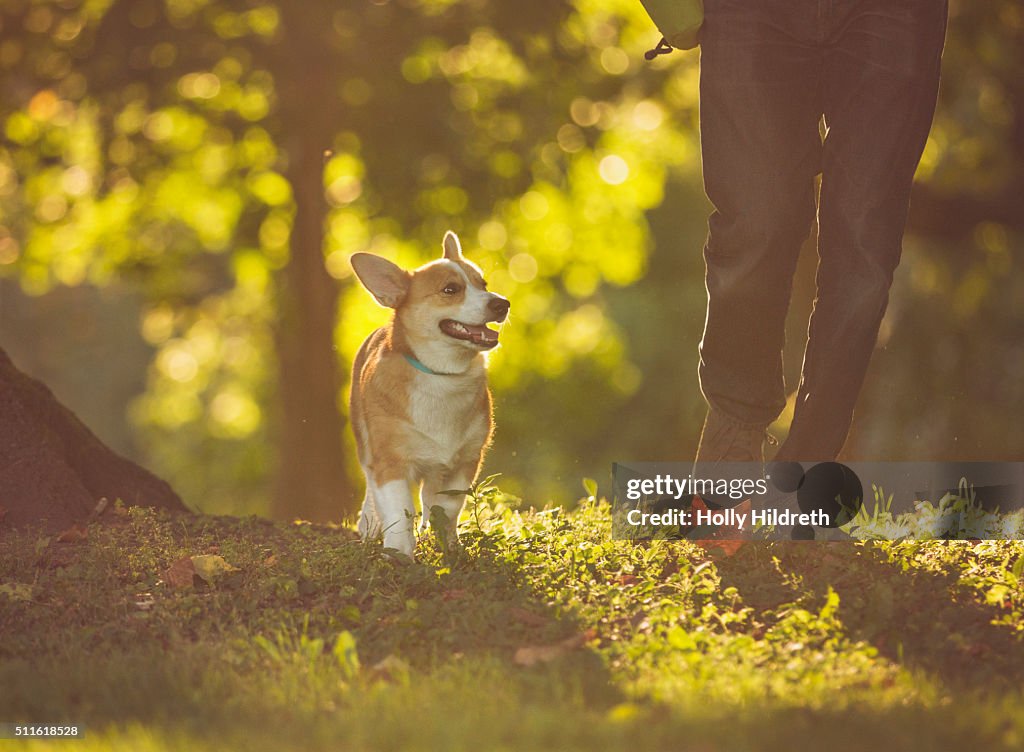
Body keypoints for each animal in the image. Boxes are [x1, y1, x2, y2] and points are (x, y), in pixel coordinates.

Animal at [350, 231, 509, 561]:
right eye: (451, 289)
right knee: (372, 487)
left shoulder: (463, 462)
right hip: (365, 445)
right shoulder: (390, 461)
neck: (441, 376)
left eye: (483, 284)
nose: (503, 304)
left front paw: (446, 545)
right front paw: (399, 553)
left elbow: (445, 508)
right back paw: (370, 524)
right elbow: (399, 508)